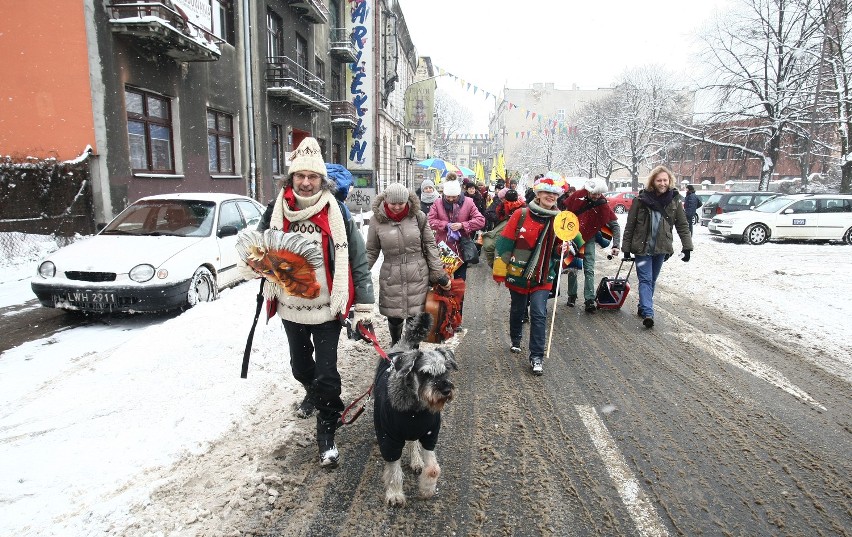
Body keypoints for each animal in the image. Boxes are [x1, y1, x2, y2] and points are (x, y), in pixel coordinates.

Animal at [372, 312, 456, 504]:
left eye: (446, 370)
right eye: (424, 373)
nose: (446, 390)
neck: (416, 409)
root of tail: (402, 346)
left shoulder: (430, 434)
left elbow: (433, 468)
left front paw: (426, 489)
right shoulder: (390, 439)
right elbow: (394, 469)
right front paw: (395, 494)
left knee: (412, 441)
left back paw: (417, 461)